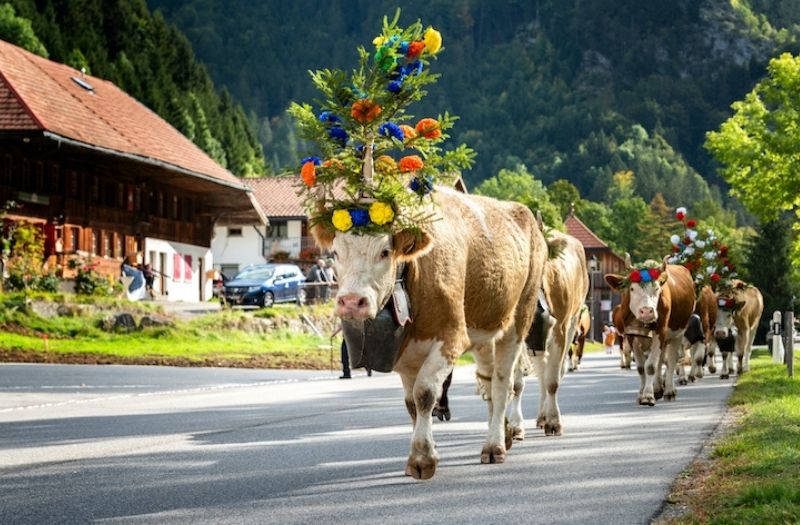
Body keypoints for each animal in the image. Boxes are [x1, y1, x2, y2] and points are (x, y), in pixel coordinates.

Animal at [314, 186, 552, 476]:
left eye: (385, 251)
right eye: (336, 252)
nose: (351, 301)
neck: (412, 273)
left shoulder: (450, 338)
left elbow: (425, 394)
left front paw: (422, 457)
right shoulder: (404, 354)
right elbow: (411, 405)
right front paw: (418, 453)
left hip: (519, 320)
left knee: (503, 384)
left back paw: (495, 445)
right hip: (485, 332)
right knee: (487, 382)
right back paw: (504, 434)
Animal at [608, 256, 692, 404]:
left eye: (657, 288)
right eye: (632, 288)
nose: (647, 311)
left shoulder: (661, 331)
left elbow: (651, 366)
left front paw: (648, 396)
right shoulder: (631, 336)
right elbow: (642, 368)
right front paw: (642, 394)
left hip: (678, 334)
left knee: (671, 360)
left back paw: (669, 391)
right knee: (661, 360)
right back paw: (658, 389)